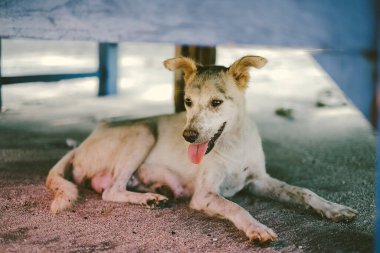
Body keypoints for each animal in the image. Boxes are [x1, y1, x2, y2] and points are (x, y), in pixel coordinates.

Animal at [46, 55, 358, 243]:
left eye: (216, 103)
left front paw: (335, 209)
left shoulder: (259, 181)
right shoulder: (205, 194)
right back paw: (149, 198)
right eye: (187, 102)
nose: (188, 135)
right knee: (110, 190)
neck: (232, 143)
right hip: (143, 131)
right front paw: (256, 228)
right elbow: (235, 206)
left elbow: (304, 192)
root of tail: (84, 141)